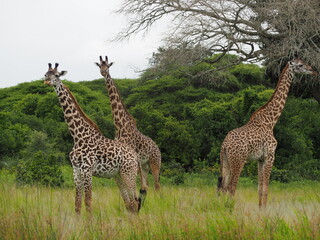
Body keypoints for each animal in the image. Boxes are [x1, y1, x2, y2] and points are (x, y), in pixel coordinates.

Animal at [43, 62, 141, 214]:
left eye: (57, 75)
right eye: (46, 73)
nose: (47, 80)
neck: (77, 136)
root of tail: (134, 155)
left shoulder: (87, 170)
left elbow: (88, 202)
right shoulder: (76, 170)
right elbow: (77, 204)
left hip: (129, 172)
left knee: (135, 202)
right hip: (118, 175)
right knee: (129, 203)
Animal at [94, 56, 160, 201]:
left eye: (108, 66)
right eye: (100, 66)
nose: (103, 72)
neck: (119, 124)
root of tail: (157, 148)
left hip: (155, 162)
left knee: (156, 185)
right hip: (145, 165)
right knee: (147, 185)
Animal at [216, 57, 316, 207]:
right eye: (300, 65)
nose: (313, 71)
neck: (271, 121)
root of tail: (224, 145)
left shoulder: (260, 159)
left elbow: (259, 188)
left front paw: (260, 209)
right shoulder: (270, 155)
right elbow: (266, 188)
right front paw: (265, 210)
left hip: (225, 161)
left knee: (222, 186)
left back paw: (222, 208)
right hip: (238, 161)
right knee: (231, 187)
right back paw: (230, 208)